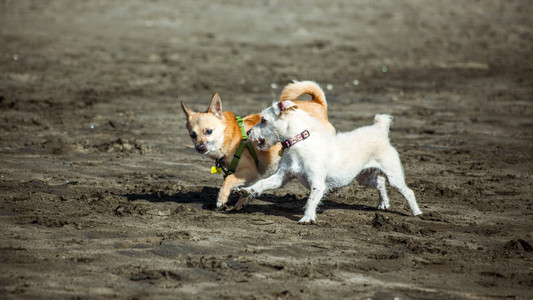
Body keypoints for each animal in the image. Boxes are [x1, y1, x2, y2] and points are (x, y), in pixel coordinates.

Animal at [181, 81, 334, 207]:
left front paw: (221, 199)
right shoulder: (247, 176)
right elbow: (245, 188)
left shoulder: (250, 171)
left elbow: (228, 179)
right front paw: (241, 203)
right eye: (193, 135)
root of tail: (318, 104)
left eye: (209, 131)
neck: (231, 136)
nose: (200, 147)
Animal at [241, 99, 420, 224]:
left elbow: (311, 200)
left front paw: (307, 218)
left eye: (264, 120)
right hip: (363, 177)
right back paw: (383, 203)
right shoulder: (281, 177)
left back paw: (416, 212)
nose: (248, 132)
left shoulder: (317, 183)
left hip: (393, 175)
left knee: (408, 191)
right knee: (380, 181)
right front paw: (246, 190)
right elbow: (262, 183)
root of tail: (379, 130)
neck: (298, 143)